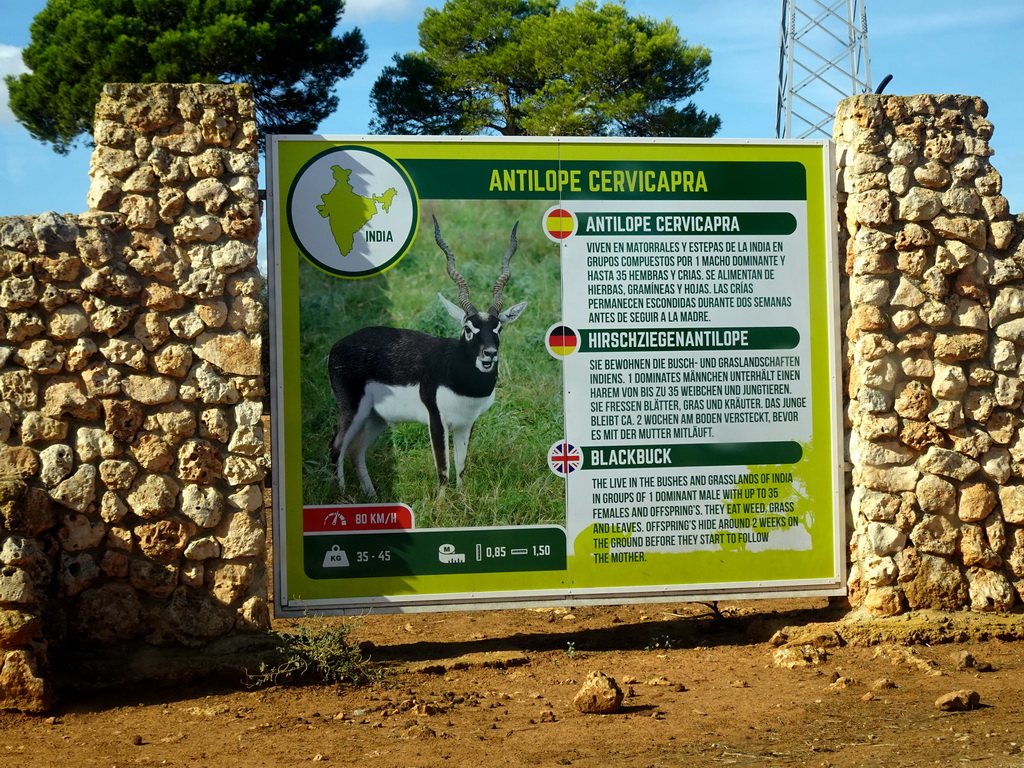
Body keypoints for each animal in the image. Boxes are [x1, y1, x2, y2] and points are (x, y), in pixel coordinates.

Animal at [327, 217, 528, 499]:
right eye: (468, 328)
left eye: (498, 328)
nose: (489, 354)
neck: (460, 378)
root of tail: (338, 345)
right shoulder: (437, 420)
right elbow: (443, 469)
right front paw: (440, 505)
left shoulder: (466, 423)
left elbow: (461, 465)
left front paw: (462, 500)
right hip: (353, 410)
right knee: (337, 448)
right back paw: (343, 497)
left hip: (376, 417)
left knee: (356, 450)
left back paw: (371, 496)